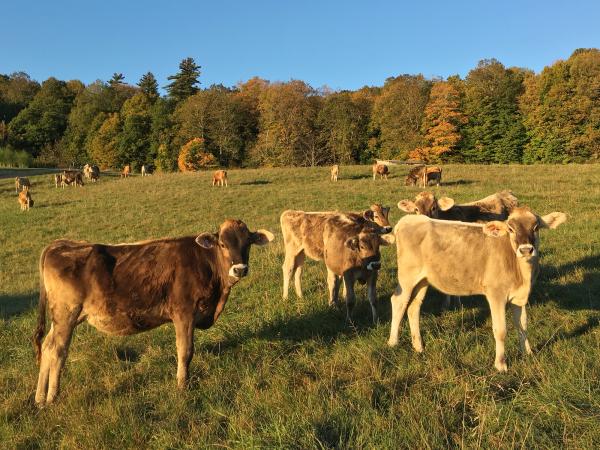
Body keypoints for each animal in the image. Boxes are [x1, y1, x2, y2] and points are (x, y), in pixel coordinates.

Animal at [33, 218, 276, 404]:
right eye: (223, 244)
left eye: (248, 243)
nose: (239, 269)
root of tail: (61, 244)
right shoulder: (184, 313)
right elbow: (185, 351)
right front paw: (182, 386)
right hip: (67, 314)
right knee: (58, 351)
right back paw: (52, 397)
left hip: (62, 318)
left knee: (47, 347)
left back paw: (39, 398)